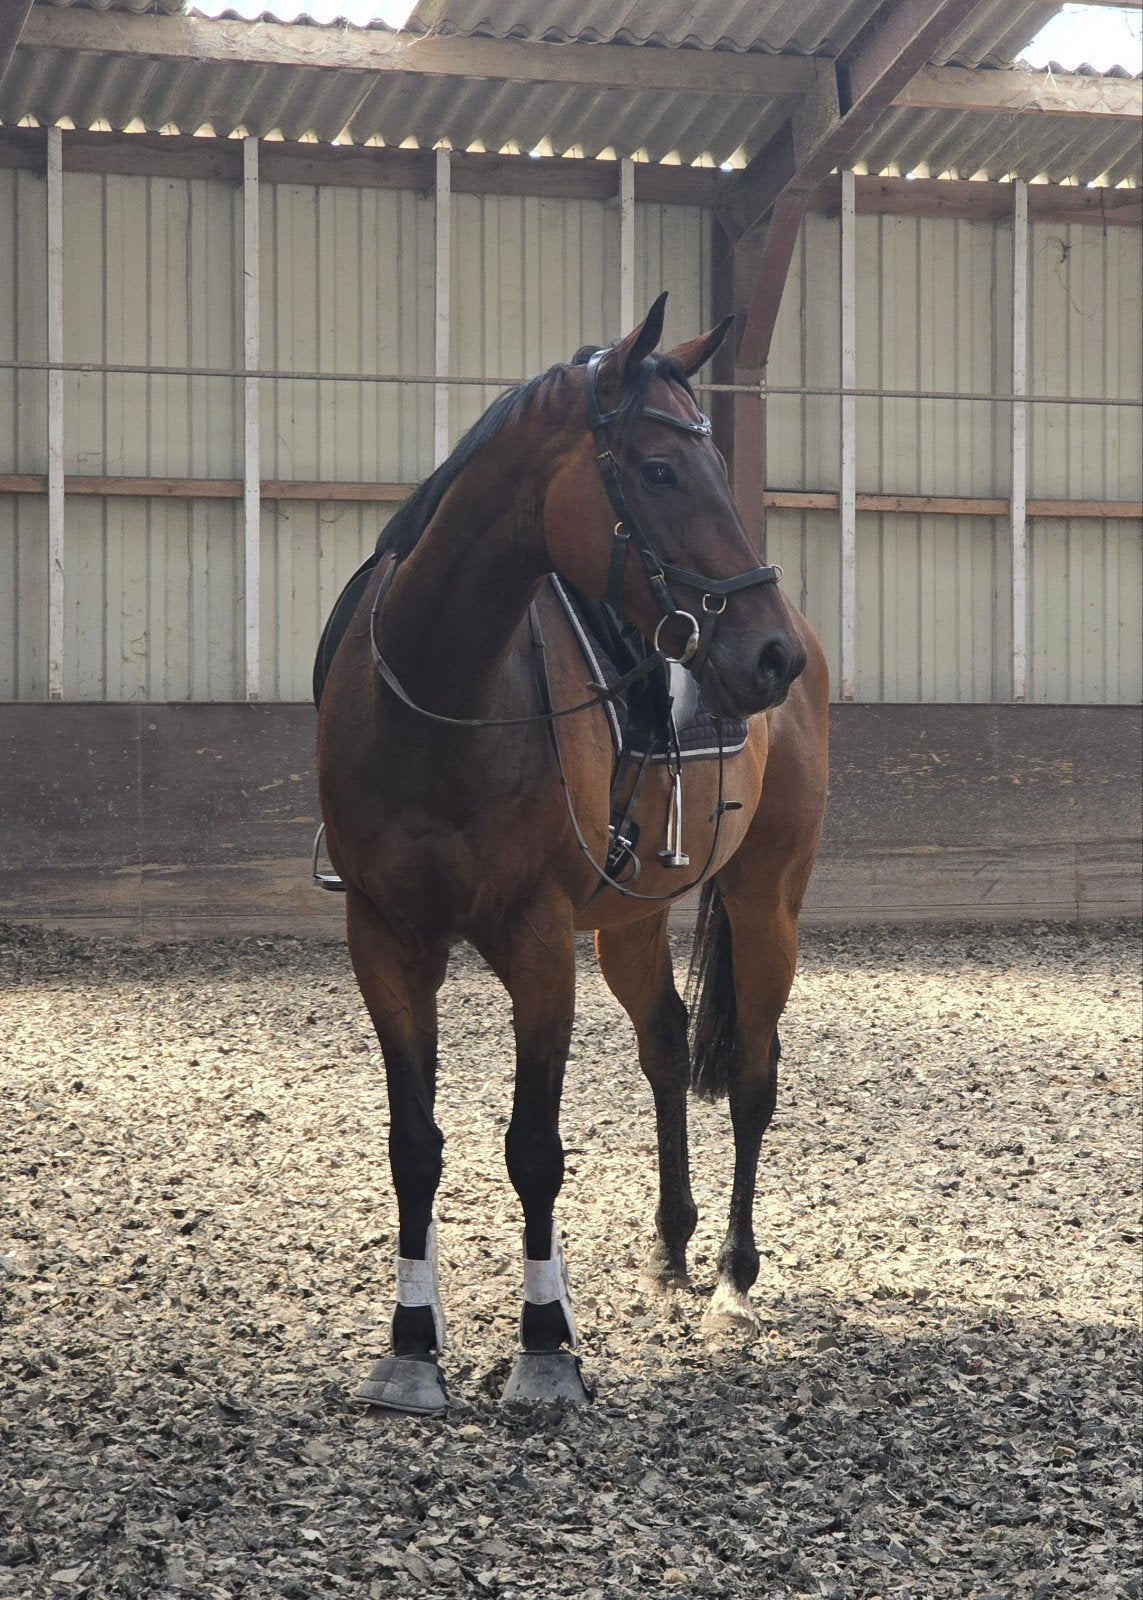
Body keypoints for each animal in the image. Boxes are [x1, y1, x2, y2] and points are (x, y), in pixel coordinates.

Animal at [314, 293, 829, 1413]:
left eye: (716, 465)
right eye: (661, 470)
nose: (770, 653)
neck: (442, 692)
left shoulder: (539, 944)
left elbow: (534, 1149)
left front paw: (546, 1345)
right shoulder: (384, 939)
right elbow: (413, 1146)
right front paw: (410, 1348)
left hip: (766, 898)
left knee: (755, 1073)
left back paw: (733, 1277)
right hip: (631, 917)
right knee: (668, 1045)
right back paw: (672, 1246)